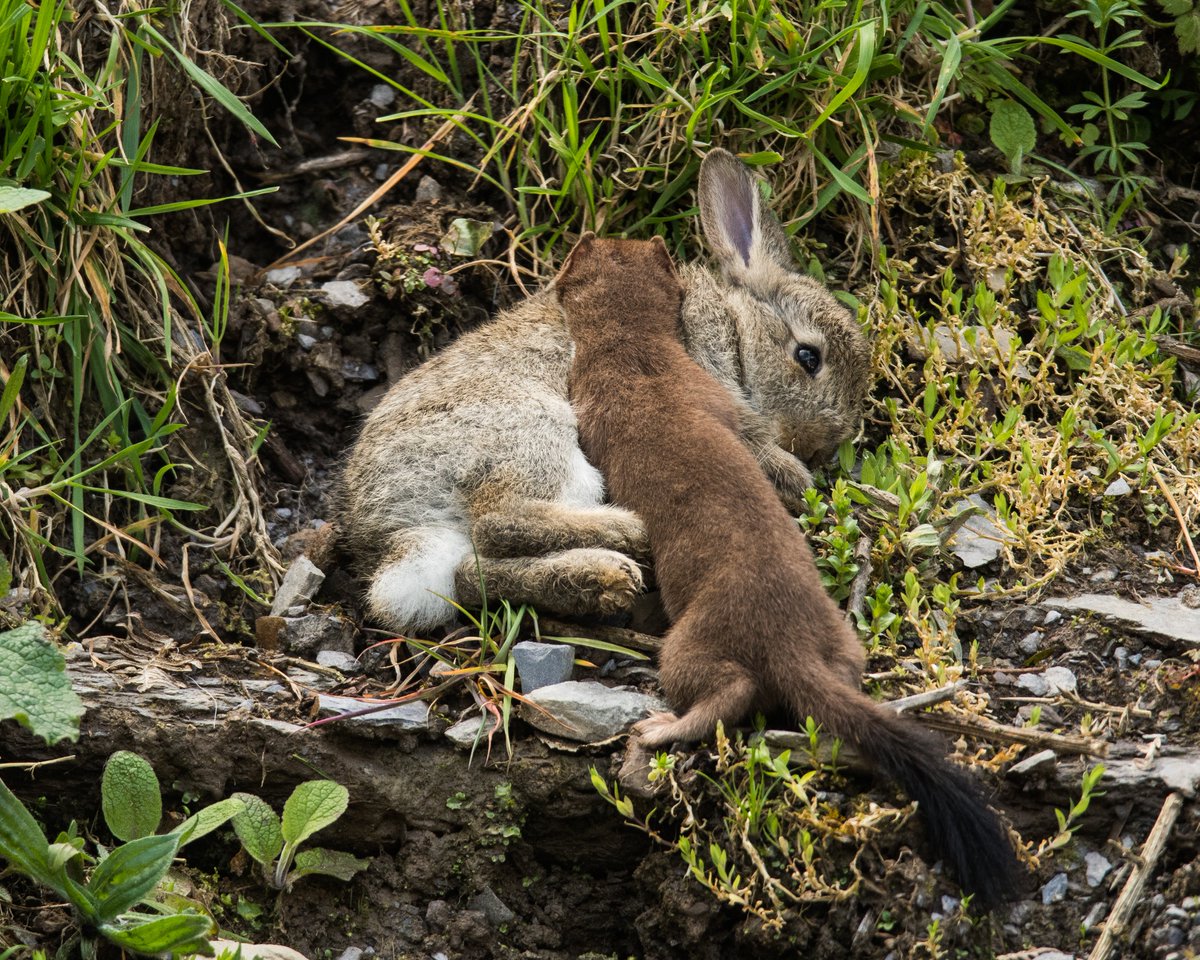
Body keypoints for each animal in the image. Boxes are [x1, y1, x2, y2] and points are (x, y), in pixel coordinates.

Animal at [339, 148, 872, 633]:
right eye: (808, 357)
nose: (824, 449)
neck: (737, 328)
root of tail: (391, 528)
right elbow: (757, 449)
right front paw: (798, 481)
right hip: (532, 431)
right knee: (499, 519)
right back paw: (625, 531)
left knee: (472, 571)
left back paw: (596, 580)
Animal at [555, 233, 1019, 909]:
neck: (638, 362)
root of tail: (790, 642)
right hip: (839, 637)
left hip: (688, 645)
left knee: (728, 694)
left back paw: (661, 728)